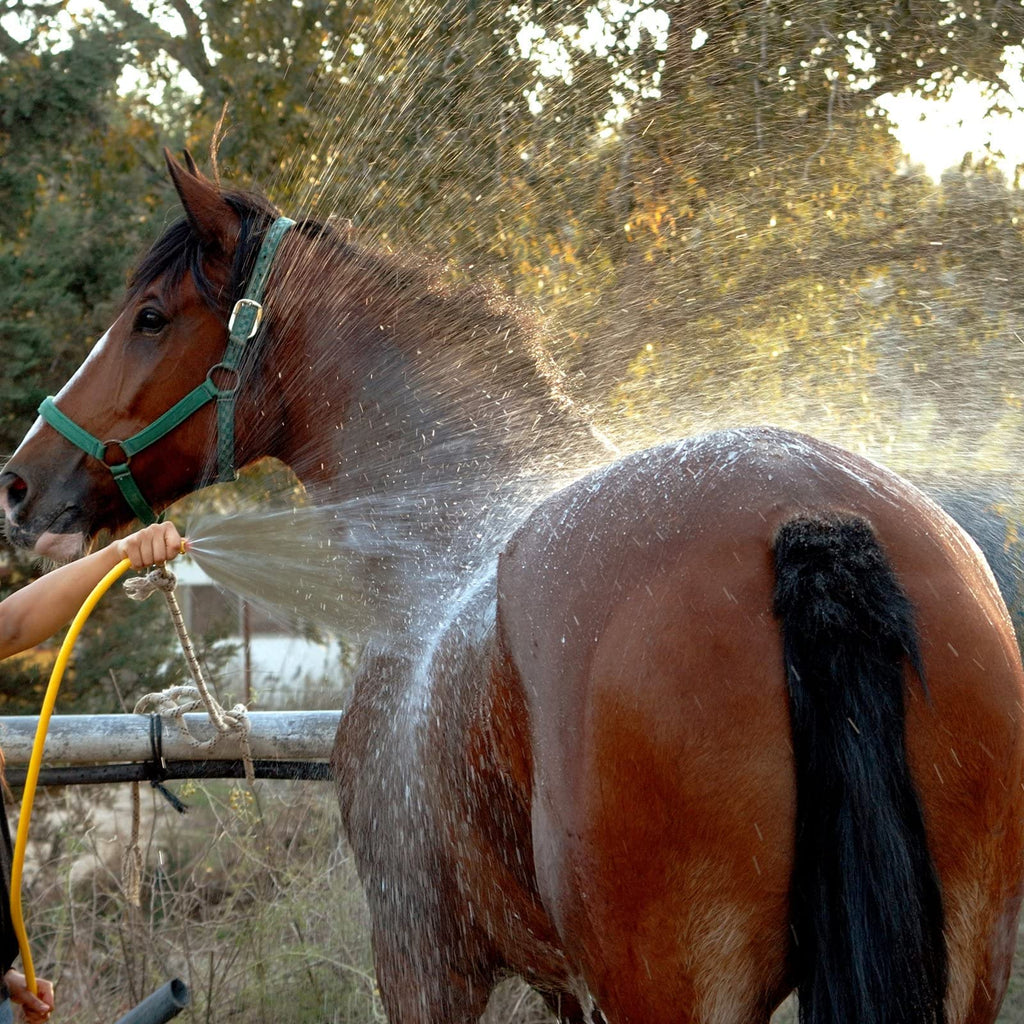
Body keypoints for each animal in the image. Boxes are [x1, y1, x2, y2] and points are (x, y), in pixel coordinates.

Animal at [2, 152, 1023, 1024]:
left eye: (150, 316)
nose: (18, 482)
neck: (442, 544)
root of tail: (810, 519)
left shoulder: (422, 956)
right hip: (961, 969)